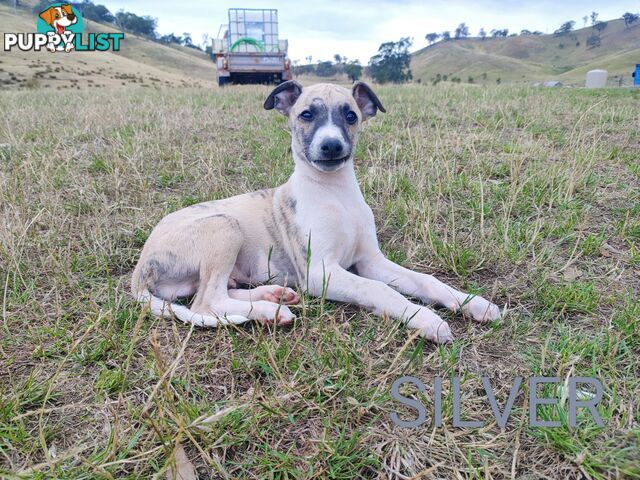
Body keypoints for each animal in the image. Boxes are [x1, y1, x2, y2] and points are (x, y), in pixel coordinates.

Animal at [130, 81, 500, 342]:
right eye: (307, 115)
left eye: (350, 116)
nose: (331, 146)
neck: (335, 194)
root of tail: (140, 269)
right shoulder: (321, 273)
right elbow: (380, 290)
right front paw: (425, 319)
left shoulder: (371, 261)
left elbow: (425, 280)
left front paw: (472, 302)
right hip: (224, 227)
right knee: (207, 301)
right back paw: (268, 310)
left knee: (218, 290)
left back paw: (273, 298)